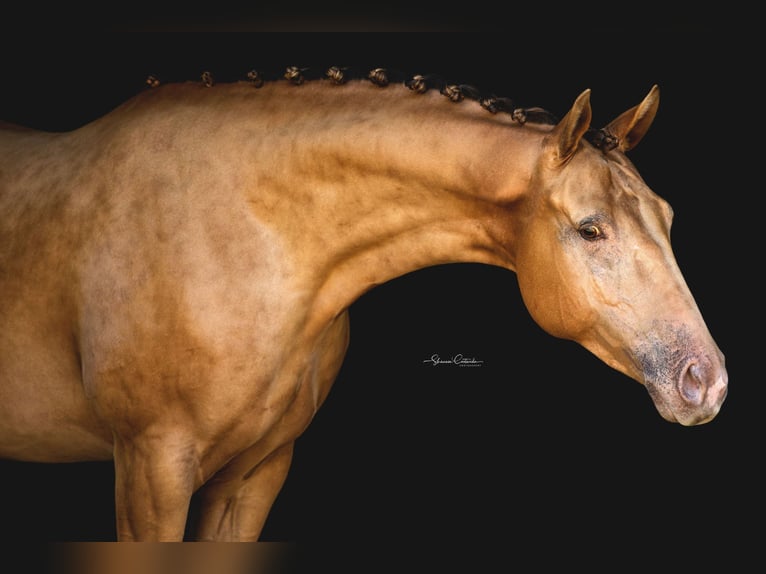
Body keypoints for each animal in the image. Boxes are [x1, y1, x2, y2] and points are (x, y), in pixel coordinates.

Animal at [0, 67, 728, 544]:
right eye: (590, 229)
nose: (706, 380)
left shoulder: (256, 475)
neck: (244, 232)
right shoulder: (150, 472)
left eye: (667, 216)